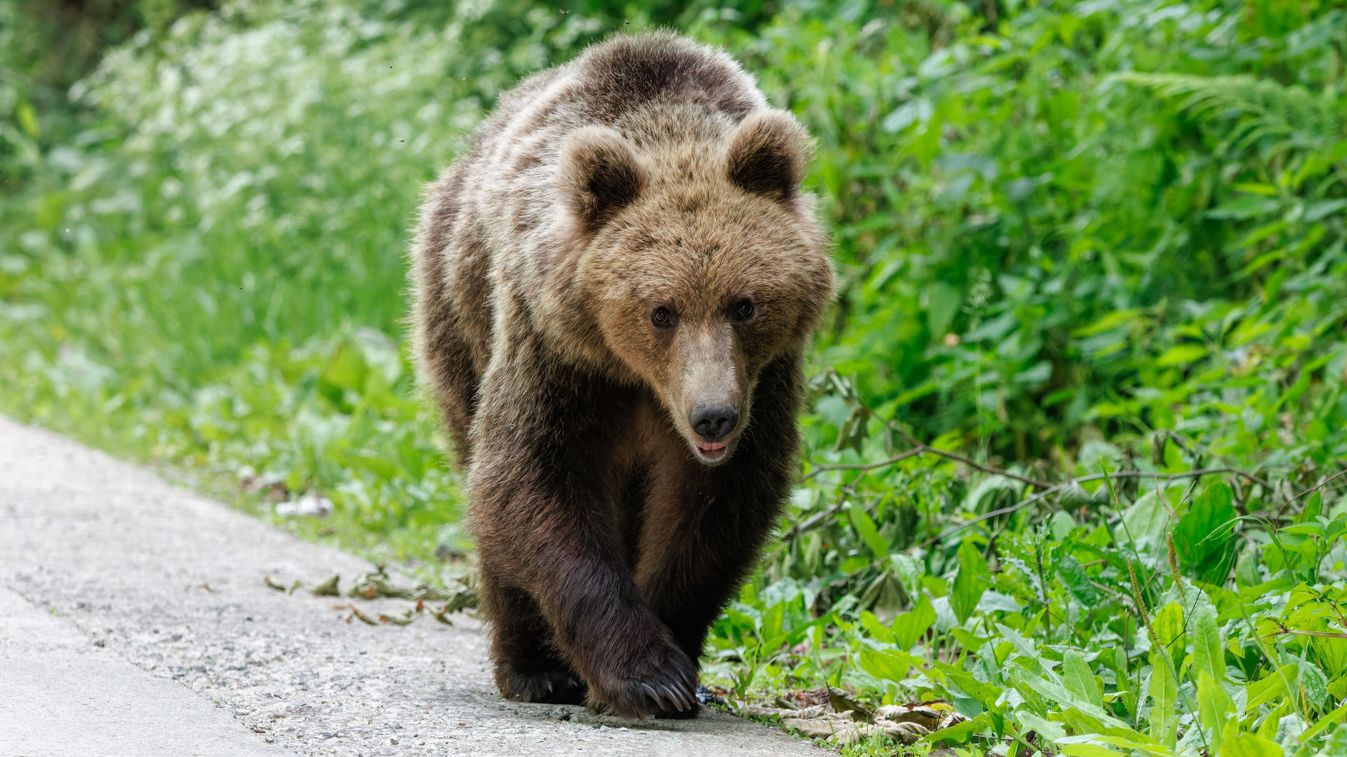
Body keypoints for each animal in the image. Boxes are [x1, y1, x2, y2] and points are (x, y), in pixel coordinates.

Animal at [409, 32, 829, 716]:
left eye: (744, 304)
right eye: (662, 310)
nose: (713, 416)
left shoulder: (763, 382)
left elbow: (715, 507)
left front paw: (676, 659)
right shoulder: (555, 353)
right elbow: (529, 477)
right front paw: (645, 675)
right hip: (457, 312)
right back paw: (533, 668)